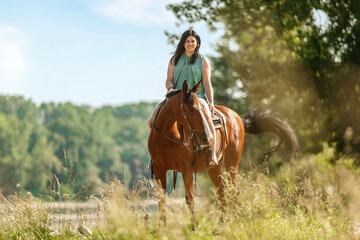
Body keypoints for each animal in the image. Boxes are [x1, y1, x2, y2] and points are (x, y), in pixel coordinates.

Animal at [148, 80, 300, 225]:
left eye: (203, 109)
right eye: (191, 109)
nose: (207, 137)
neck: (168, 136)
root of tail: (236, 116)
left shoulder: (186, 169)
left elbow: (190, 199)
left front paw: (194, 226)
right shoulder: (159, 169)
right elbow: (161, 199)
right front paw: (162, 227)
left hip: (232, 163)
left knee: (233, 190)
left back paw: (228, 221)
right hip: (214, 167)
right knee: (222, 191)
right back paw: (221, 223)